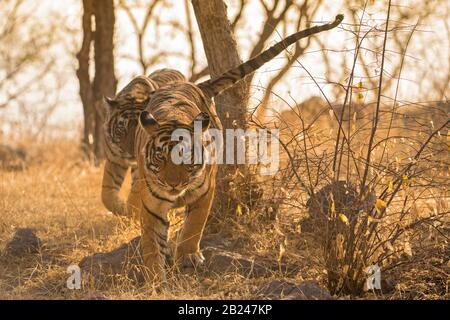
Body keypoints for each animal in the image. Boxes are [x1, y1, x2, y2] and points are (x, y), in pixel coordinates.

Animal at [102, 68, 186, 218]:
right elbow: (106, 193)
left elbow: (136, 192)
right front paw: (120, 207)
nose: (131, 154)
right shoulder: (114, 159)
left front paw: (131, 211)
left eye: (139, 130)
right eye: (121, 129)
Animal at [132, 15, 342, 282]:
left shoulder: (205, 190)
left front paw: (188, 256)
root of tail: (193, 84)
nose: (173, 185)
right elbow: (151, 242)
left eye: (184, 157)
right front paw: (155, 278)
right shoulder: (151, 204)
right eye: (160, 158)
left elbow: (193, 226)